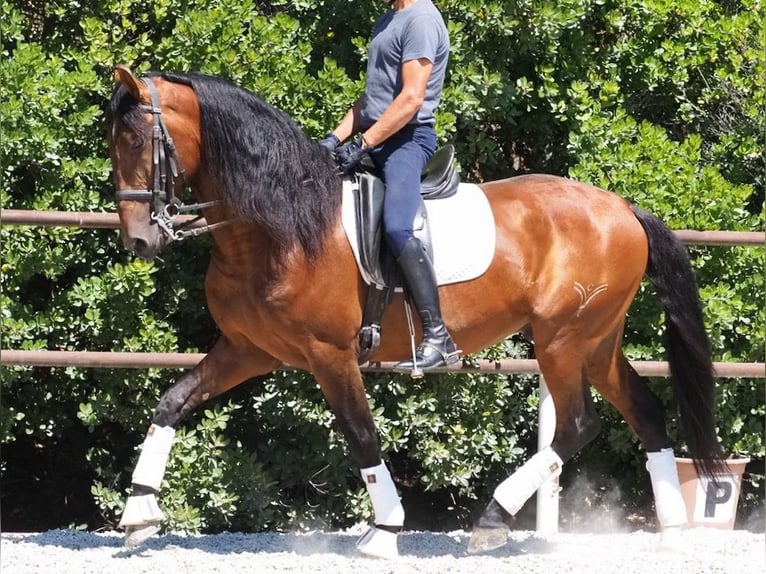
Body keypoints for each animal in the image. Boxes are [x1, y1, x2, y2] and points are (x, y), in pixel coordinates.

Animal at [106, 66, 728, 560]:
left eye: (136, 141)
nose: (139, 241)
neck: (277, 228)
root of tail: (621, 207)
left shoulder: (329, 355)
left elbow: (361, 435)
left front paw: (384, 532)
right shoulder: (248, 349)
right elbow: (172, 402)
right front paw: (139, 516)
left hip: (562, 339)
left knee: (578, 423)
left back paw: (492, 520)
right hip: (596, 342)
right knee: (644, 410)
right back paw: (673, 527)